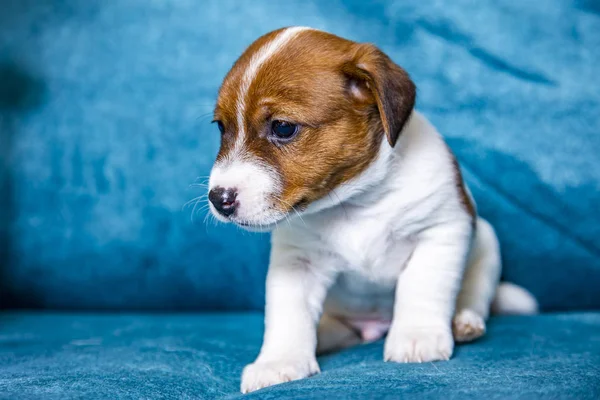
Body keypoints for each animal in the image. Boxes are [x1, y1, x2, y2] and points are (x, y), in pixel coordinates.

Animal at [207, 26, 540, 392]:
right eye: (221, 127)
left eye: (283, 127)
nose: (219, 199)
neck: (356, 202)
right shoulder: (297, 262)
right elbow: (288, 313)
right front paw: (279, 361)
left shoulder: (440, 231)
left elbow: (422, 286)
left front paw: (416, 336)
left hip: (488, 245)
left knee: (476, 292)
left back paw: (464, 321)